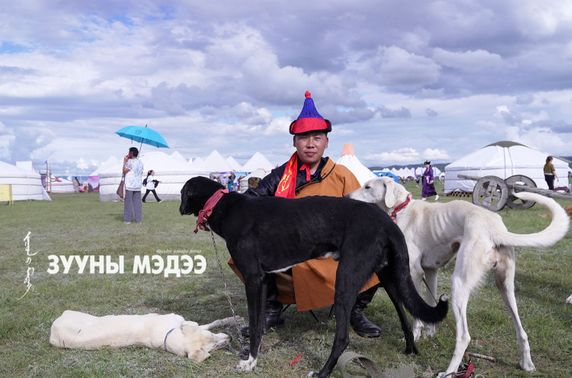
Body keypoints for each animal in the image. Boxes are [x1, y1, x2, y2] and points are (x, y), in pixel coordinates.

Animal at [49, 312, 241, 362]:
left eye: (213, 339)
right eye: (215, 347)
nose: (230, 339)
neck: (167, 336)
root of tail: (52, 332)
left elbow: (213, 323)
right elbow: (213, 322)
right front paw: (233, 320)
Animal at [180, 178, 446, 378]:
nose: (180, 208)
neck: (224, 206)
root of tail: (385, 221)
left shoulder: (253, 280)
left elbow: (255, 327)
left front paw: (250, 362)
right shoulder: (263, 280)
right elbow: (260, 325)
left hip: (346, 279)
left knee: (342, 338)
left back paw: (322, 372)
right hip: (391, 277)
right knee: (405, 315)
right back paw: (411, 349)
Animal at [348, 178, 568, 378]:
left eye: (368, 187)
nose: (347, 197)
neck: (402, 209)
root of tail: (495, 228)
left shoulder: (414, 273)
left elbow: (417, 314)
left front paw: (416, 338)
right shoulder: (431, 271)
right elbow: (430, 306)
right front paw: (430, 334)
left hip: (459, 285)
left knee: (464, 337)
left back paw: (450, 371)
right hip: (505, 287)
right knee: (521, 331)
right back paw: (527, 364)